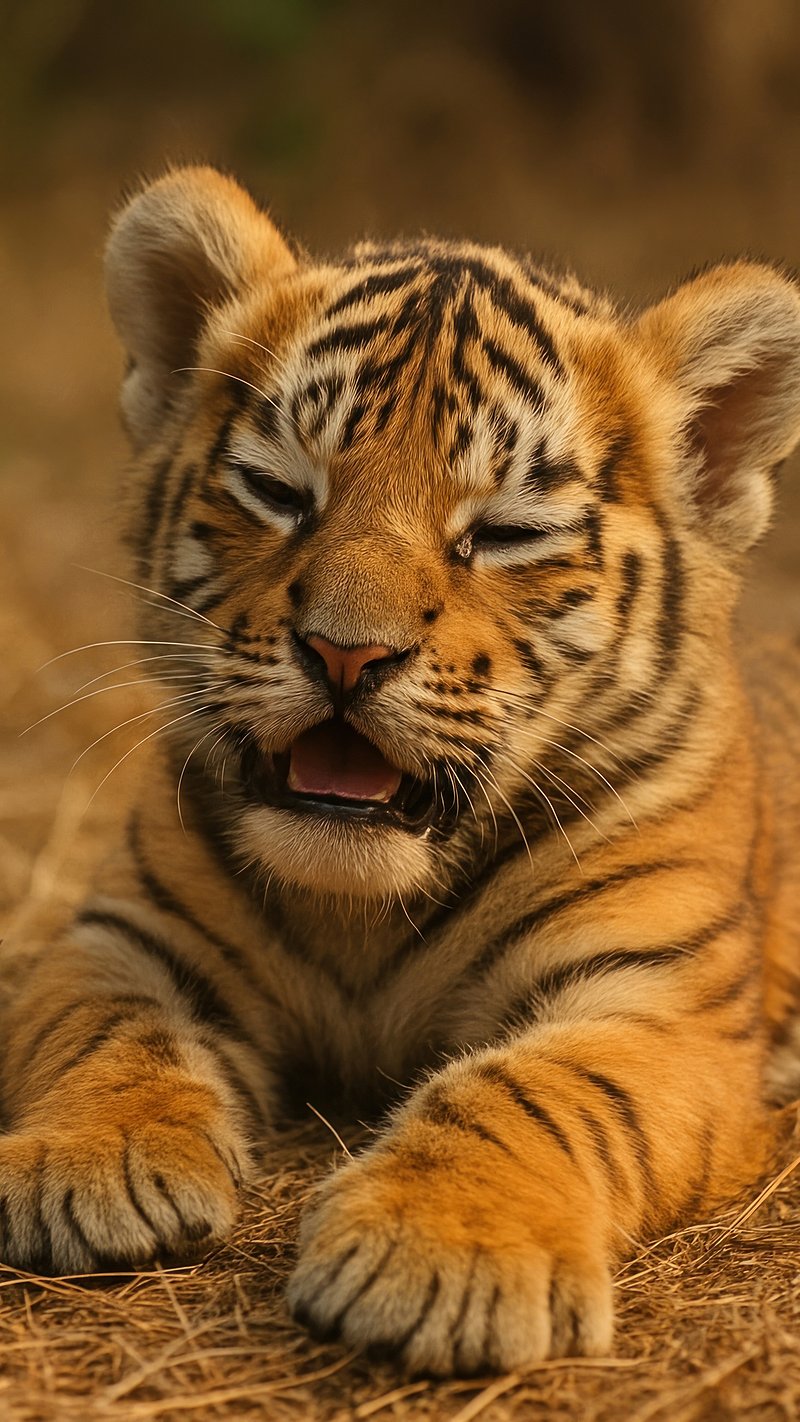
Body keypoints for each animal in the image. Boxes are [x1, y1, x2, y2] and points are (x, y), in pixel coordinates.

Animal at [1, 164, 799, 1376]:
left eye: (505, 533)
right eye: (279, 491)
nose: (345, 653)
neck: (362, 915)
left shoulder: (659, 1003)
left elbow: (535, 1086)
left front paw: (440, 1251)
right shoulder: (125, 935)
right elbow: (107, 1034)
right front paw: (82, 1167)